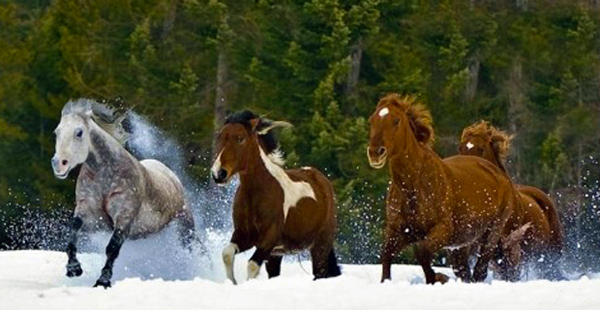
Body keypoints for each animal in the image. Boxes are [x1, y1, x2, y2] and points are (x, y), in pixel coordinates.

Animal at [51, 99, 196, 288]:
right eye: (57, 132)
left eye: (79, 132)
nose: (58, 164)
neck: (106, 176)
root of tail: (173, 177)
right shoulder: (90, 213)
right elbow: (73, 230)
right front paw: (74, 268)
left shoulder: (124, 216)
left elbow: (112, 247)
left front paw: (103, 281)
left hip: (186, 226)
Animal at [211, 110, 342, 284]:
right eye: (219, 137)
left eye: (240, 138)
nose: (218, 173)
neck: (255, 194)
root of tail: (321, 179)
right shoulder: (244, 235)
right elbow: (227, 253)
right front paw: (232, 282)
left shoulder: (269, 239)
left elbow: (252, 265)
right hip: (277, 255)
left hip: (320, 245)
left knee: (319, 273)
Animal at [368, 94, 516, 284]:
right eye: (372, 120)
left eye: (396, 120)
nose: (375, 153)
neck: (413, 187)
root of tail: (500, 174)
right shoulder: (398, 231)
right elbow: (387, 256)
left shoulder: (443, 230)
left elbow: (422, 252)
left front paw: (438, 277)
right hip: (464, 243)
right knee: (465, 270)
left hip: (492, 232)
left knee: (480, 269)